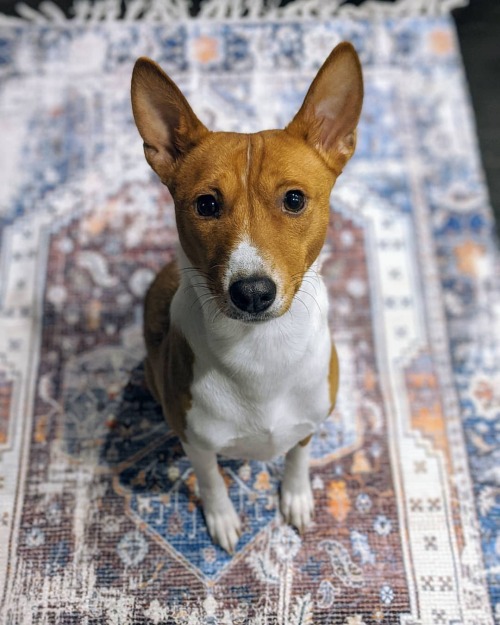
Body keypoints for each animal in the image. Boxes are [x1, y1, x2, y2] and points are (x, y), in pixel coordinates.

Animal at [131, 42, 362, 552]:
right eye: (206, 204)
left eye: (294, 199)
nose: (252, 292)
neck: (261, 355)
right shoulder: (195, 442)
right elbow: (211, 480)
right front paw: (220, 519)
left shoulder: (308, 424)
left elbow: (297, 458)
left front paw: (295, 496)